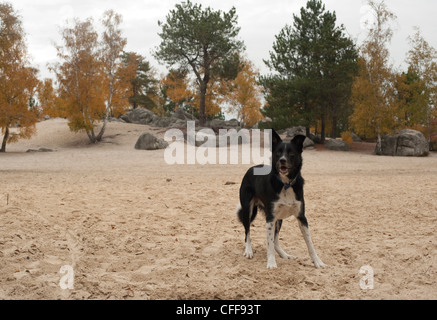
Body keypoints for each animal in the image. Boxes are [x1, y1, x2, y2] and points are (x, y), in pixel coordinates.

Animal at [237, 129, 326, 268]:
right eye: (278, 153)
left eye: (291, 153)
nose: (282, 160)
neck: (285, 184)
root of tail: (252, 168)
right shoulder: (270, 218)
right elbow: (268, 243)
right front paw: (271, 263)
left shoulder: (302, 217)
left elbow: (310, 243)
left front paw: (317, 262)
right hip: (247, 210)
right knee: (247, 232)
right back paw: (248, 251)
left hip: (279, 219)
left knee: (275, 240)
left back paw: (284, 254)